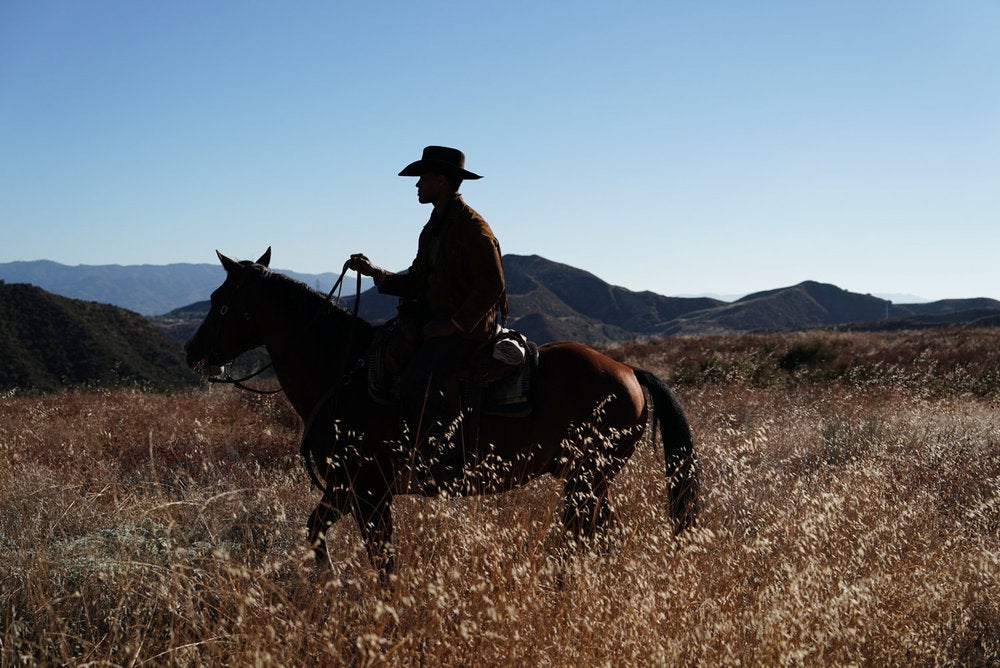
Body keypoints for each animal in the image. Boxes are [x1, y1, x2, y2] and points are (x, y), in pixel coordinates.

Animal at [184, 248, 699, 579]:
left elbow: (382, 558)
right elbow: (317, 532)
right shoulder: (344, 487)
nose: (192, 351)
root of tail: (629, 372)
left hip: (587, 480)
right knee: (600, 538)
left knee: (584, 539)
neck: (341, 368)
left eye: (220, 301)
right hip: (588, 480)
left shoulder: (370, 489)